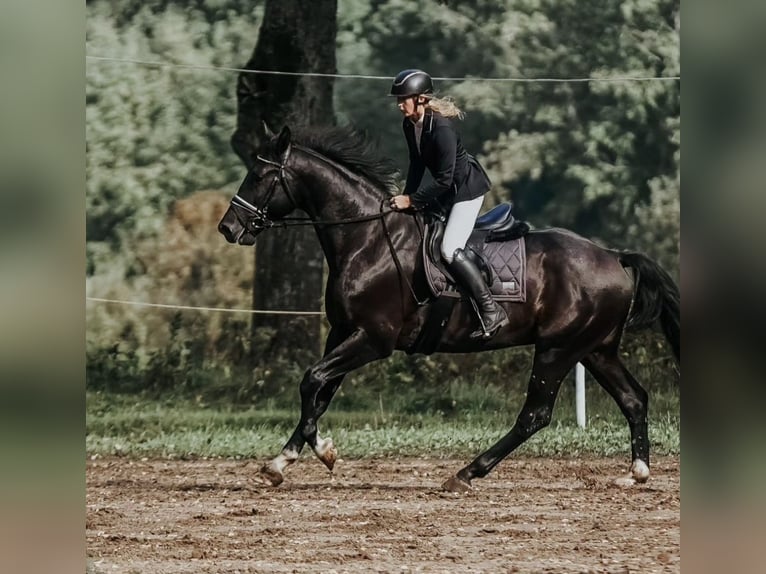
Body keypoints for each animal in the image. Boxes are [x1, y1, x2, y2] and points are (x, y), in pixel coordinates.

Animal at [217, 125, 680, 492]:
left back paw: (466, 473)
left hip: (558, 349)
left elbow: (312, 381)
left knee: (535, 414)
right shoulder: (343, 332)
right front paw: (289, 459)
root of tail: (613, 256)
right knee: (634, 399)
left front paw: (310, 453)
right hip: (596, 349)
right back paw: (637, 472)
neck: (367, 239)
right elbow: (319, 392)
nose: (227, 228)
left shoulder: (372, 339)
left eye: (259, 175)